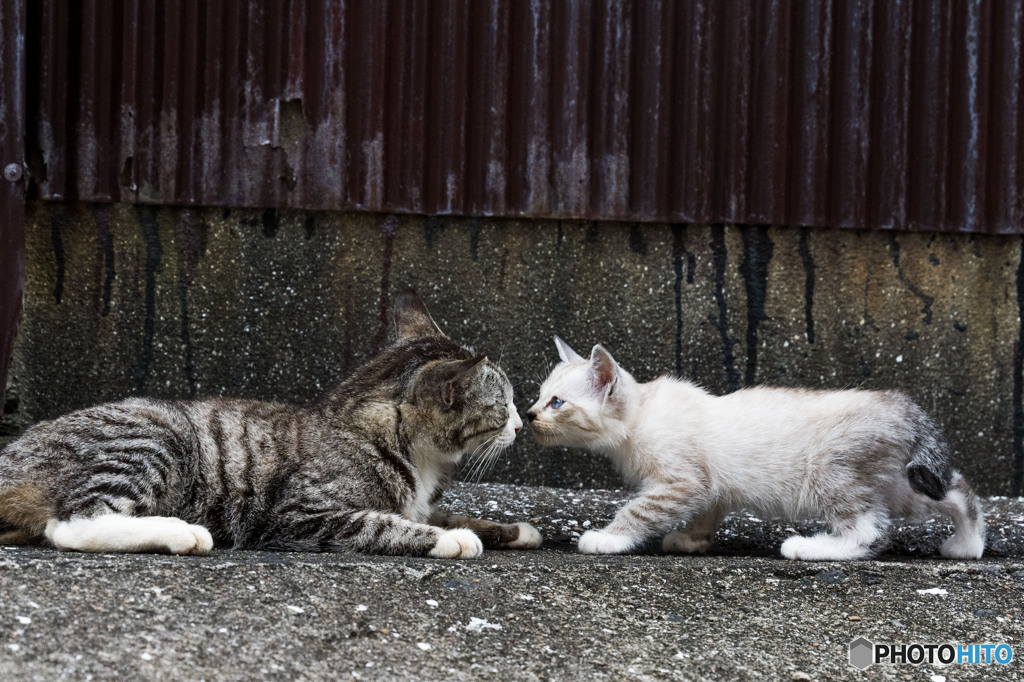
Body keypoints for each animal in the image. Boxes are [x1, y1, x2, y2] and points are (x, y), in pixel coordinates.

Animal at [0, 288, 544, 557]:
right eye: (505, 405)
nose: (522, 424)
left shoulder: (419, 503)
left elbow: (440, 513)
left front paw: (512, 529)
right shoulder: (300, 515)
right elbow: (386, 524)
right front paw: (455, 539)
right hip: (156, 434)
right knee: (72, 525)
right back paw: (182, 532)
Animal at [528, 337, 983, 561]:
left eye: (557, 403)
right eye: (538, 396)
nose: (529, 415)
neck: (640, 414)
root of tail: (900, 404)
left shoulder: (681, 481)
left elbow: (638, 511)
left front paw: (608, 538)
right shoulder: (708, 484)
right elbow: (707, 509)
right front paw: (692, 540)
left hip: (829, 473)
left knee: (867, 530)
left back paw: (813, 547)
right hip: (900, 482)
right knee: (957, 489)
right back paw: (968, 545)